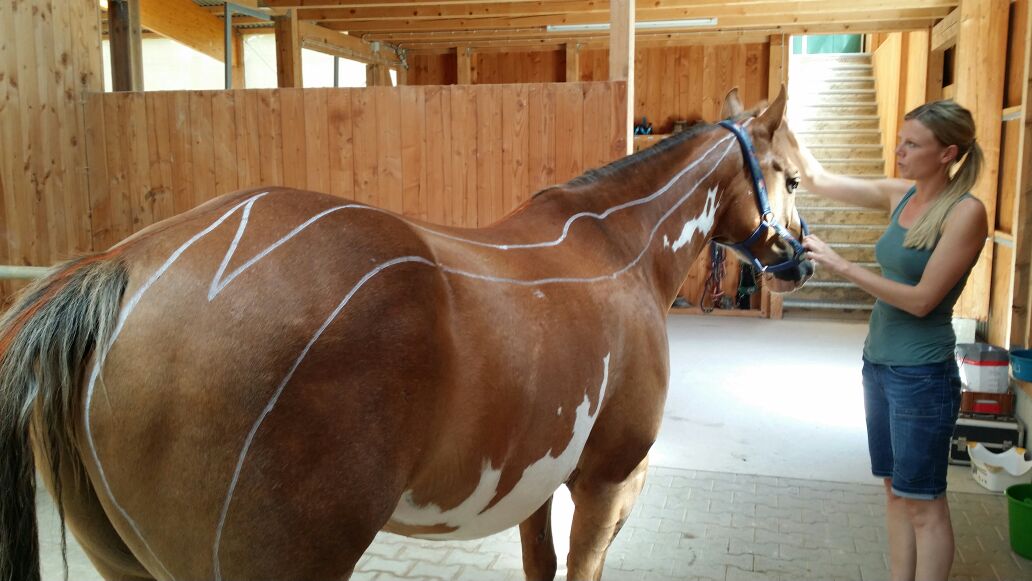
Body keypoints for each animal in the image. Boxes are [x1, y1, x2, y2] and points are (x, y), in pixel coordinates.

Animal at [0, 87, 811, 581]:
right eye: (794, 177)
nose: (801, 259)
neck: (620, 245)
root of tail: (119, 266)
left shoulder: (542, 484)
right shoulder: (607, 480)